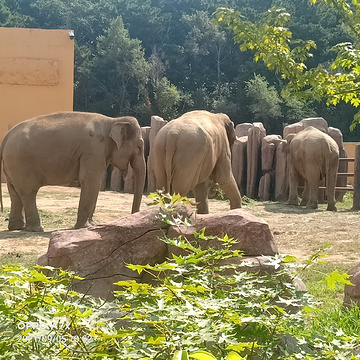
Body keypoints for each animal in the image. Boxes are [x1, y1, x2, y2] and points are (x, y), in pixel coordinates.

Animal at [0, 111, 146, 232]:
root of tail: (6, 137)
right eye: (139, 146)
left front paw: (93, 225)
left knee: (14, 192)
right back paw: (36, 229)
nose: (133, 216)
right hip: (20, 163)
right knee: (28, 192)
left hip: (11, 166)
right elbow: (91, 182)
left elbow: (95, 185)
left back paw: (16, 227)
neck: (113, 120)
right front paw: (84, 227)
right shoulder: (93, 150)